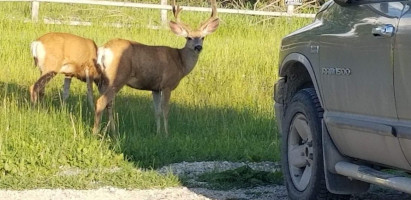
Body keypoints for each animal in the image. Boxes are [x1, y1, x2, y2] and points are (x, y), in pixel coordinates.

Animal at [93, 0, 220, 136]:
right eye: (188, 37)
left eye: (203, 37)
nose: (198, 47)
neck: (180, 62)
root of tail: (103, 50)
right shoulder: (167, 85)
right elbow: (165, 110)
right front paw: (166, 134)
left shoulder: (155, 88)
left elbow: (157, 111)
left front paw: (158, 133)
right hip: (117, 77)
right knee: (101, 102)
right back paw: (95, 133)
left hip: (102, 81)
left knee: (109, 104)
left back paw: (113, 132)